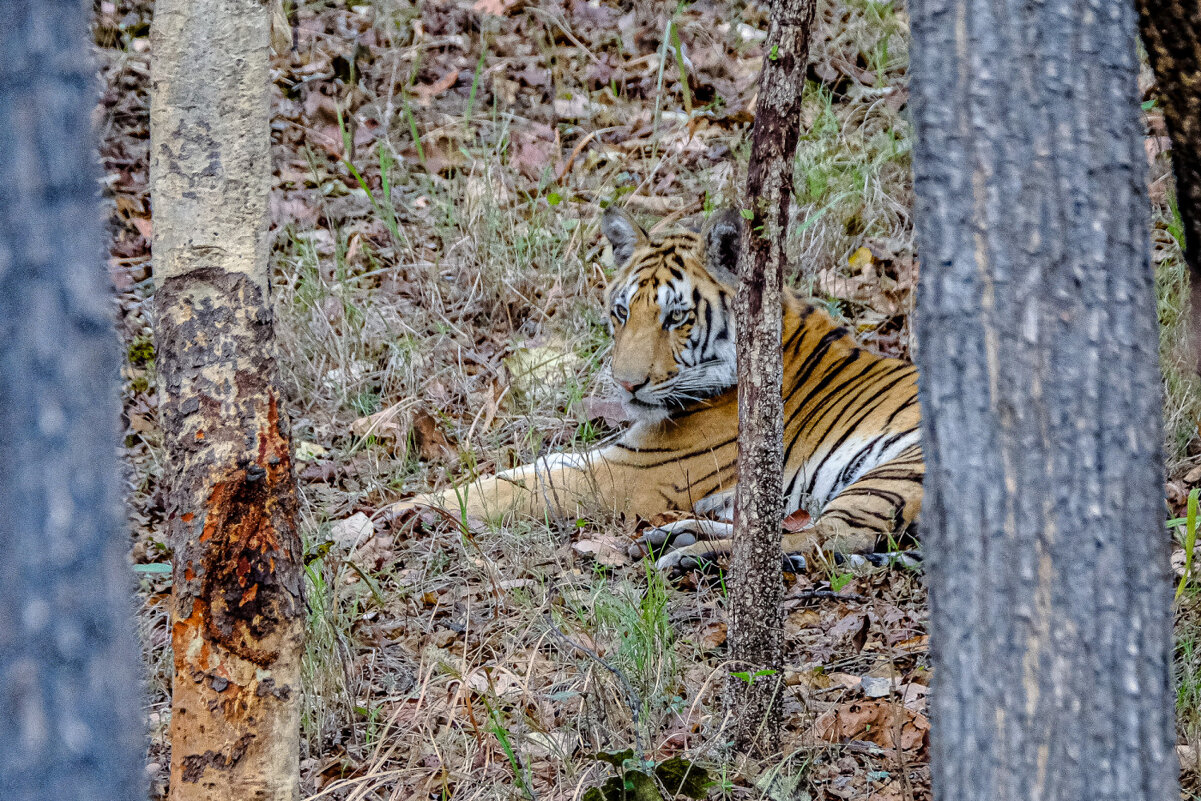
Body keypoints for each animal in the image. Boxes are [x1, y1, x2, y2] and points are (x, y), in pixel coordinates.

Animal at [389, 206, 922, 569]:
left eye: (677, 317)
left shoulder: (632, 473)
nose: (626, 384)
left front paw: (405, 511)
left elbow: (514, 488)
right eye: (623, 312)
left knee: (823, 539)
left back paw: (688, 555)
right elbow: (527, 470)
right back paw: (675, 538)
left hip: (895, 473)